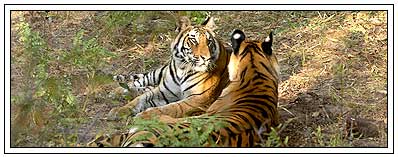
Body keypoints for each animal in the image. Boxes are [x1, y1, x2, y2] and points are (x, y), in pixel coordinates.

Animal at [88, 28, 278, 147]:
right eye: (193, 40)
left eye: (209, 42)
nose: (205, 58)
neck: (256, 75)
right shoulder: (165, 91)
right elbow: (141, 99)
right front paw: (119, 110)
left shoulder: (198, 100)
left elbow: (172, 107)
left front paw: (143, 115)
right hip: (159, 75)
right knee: (145, 80)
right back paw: (117, 90)